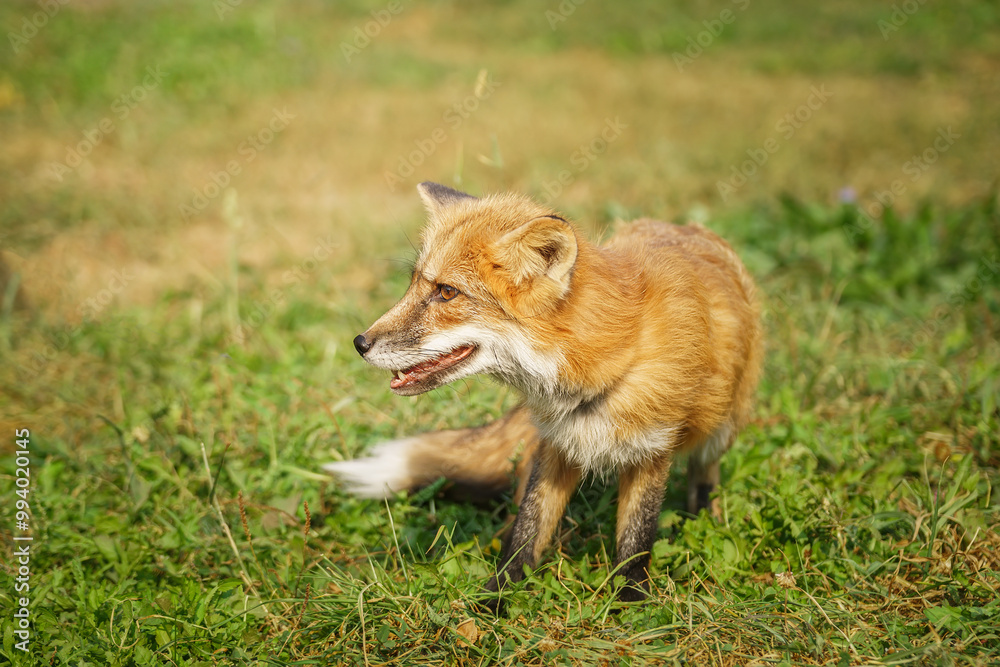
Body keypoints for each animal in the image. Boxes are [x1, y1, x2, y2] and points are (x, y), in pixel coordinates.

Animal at [325, 182, 763, 608]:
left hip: (724, 426)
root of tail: (685, 226)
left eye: (447, 292)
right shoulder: (555, 445)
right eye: (413, 282)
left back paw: (704, 519)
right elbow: (527, 530)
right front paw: (496, 599)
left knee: (704, 473)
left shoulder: (652, 449)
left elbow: (636, 538)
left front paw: (631, 604)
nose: (359, 343)